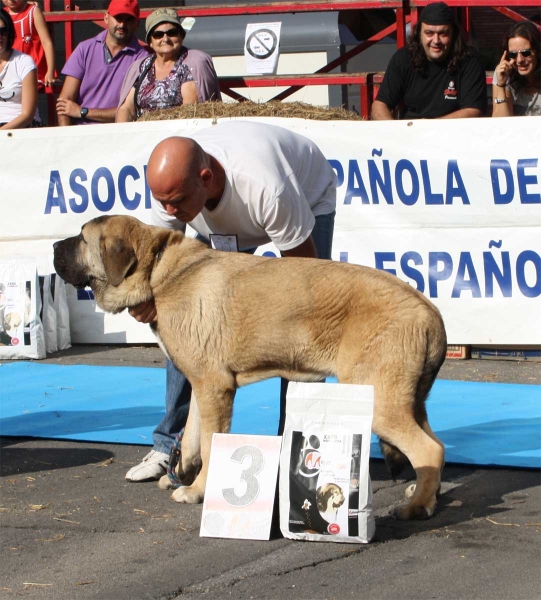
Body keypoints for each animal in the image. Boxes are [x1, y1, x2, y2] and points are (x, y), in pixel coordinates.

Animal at [52, 216, 446, 520]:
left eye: (81, 238)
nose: (54, 247)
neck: (156, 270)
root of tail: (428, 310)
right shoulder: (203, 386)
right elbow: (191, 438)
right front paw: (181, 474)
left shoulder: (214, 388)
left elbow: (209, 444)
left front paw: (196, 490)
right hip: (407, 400)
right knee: (434, 445)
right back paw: (424, 492)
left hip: (377, 400)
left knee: (430, 450)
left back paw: (417, 507)